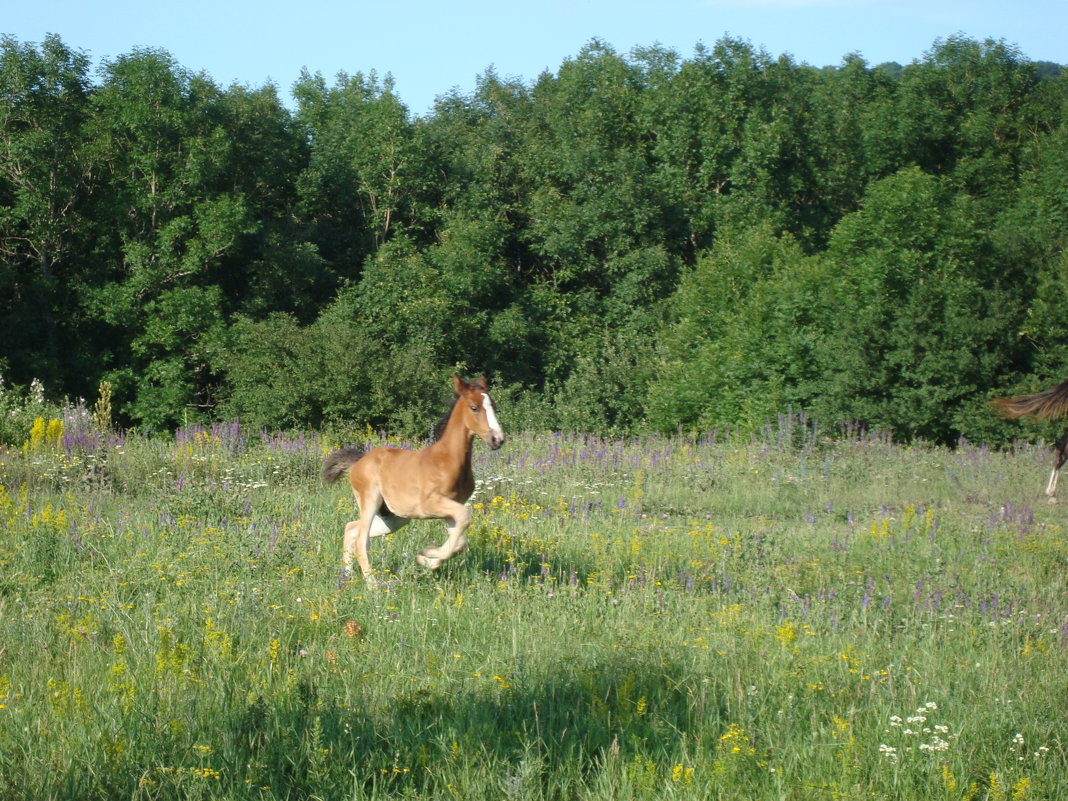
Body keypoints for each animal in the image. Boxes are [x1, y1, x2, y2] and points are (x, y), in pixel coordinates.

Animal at [320, 375, 504, 585]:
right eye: (474, 407)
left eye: (494, 406)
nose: (497, 439)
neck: (447, 460)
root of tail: (359, 462)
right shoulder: (430, 505)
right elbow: (464, 519)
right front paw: (427, 554)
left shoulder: (450, 510)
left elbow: (459, 542)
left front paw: (426, 559)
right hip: (370, 501)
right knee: (361, 539)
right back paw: (373, 585)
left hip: (393, 517)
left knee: (351, 528)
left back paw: (347, 576)